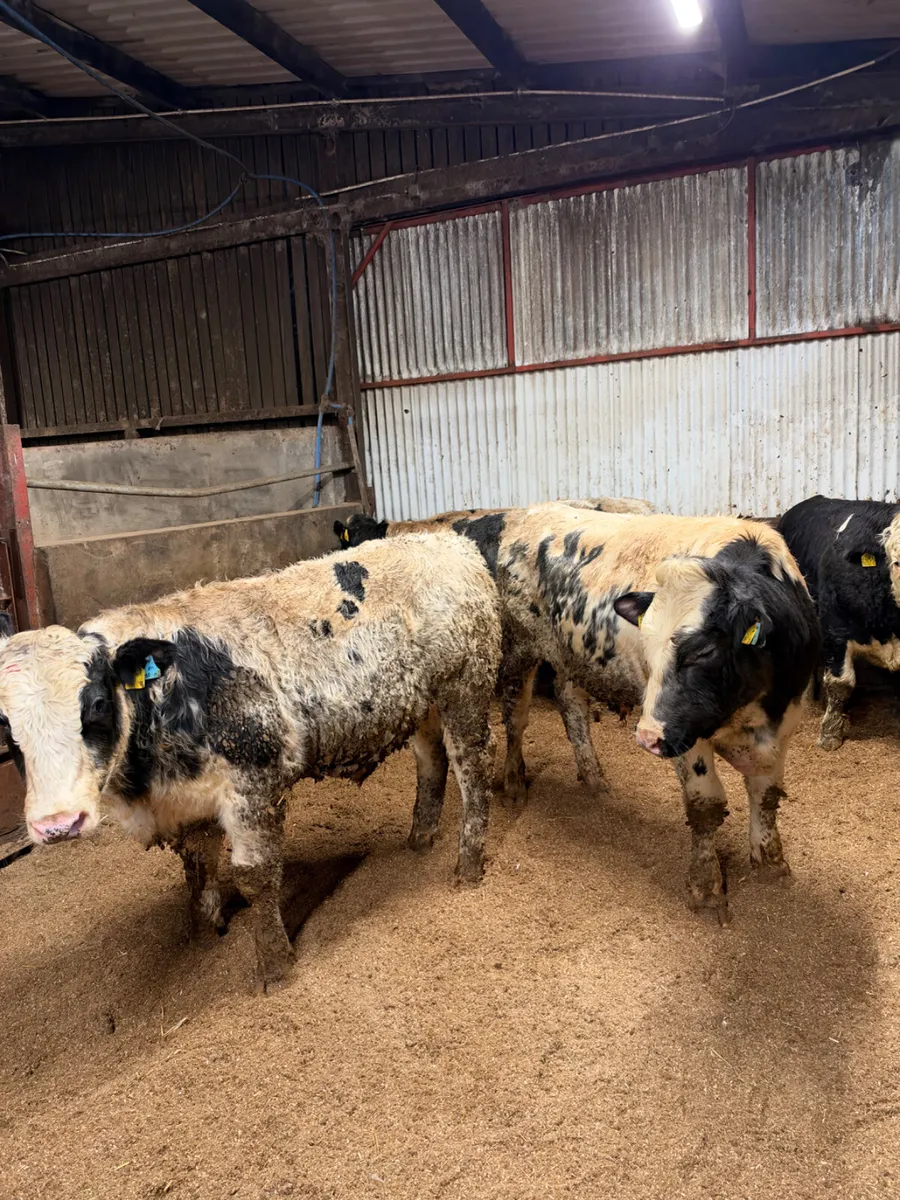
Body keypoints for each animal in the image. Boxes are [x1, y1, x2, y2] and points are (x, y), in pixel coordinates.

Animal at [0, 533, 502, 992]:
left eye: (98, 704)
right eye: (5, 726)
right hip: (422, 704)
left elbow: (254, 877)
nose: (58, 824)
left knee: (472, 770)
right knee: (431, 761)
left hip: (466, 688)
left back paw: (468, 867)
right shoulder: (189, 799)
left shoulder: (254, 784)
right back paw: (419, 840)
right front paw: (205, 939)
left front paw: (276, 967)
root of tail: (445, 539)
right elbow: (198, 871)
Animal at [491, 504, 820, 922]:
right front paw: (706, 887)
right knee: (515, 714)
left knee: (571, 704)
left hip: (573, 656)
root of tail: (531, 510)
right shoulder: (683, 735)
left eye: (703, 651)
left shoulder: (784, 725)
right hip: (520, 648)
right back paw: (514, 783)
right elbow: (706, 806)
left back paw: (593, 777)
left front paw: (771, 863)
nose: (647, 737)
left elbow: (766, 795)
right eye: (646, 643)